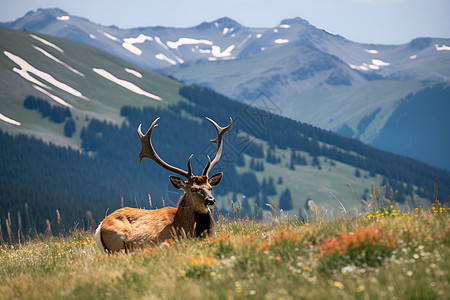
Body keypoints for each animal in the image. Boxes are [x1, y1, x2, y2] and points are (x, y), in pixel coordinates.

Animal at [96, 116, 234, 252]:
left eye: (210, 188)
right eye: (193, 189)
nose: (210, 200)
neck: (182, 227)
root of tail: (100, 226)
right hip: (117, 241)